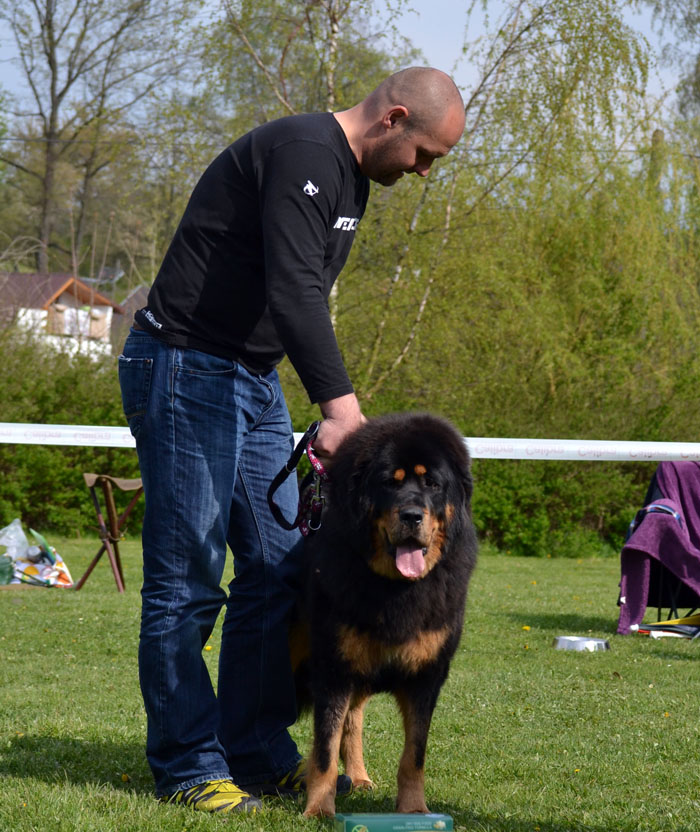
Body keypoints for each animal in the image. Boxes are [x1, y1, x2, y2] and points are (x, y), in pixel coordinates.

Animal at [292, 412, 482, 816]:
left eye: (432, 483)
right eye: (389, 483)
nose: (411, 515)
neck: (396, 588)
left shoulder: (427, 675)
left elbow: (414, 754)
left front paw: (414, 810)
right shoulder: (334, 667)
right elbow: (324, 749)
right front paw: (319, 809)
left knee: (353, 721)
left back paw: (359, 777)